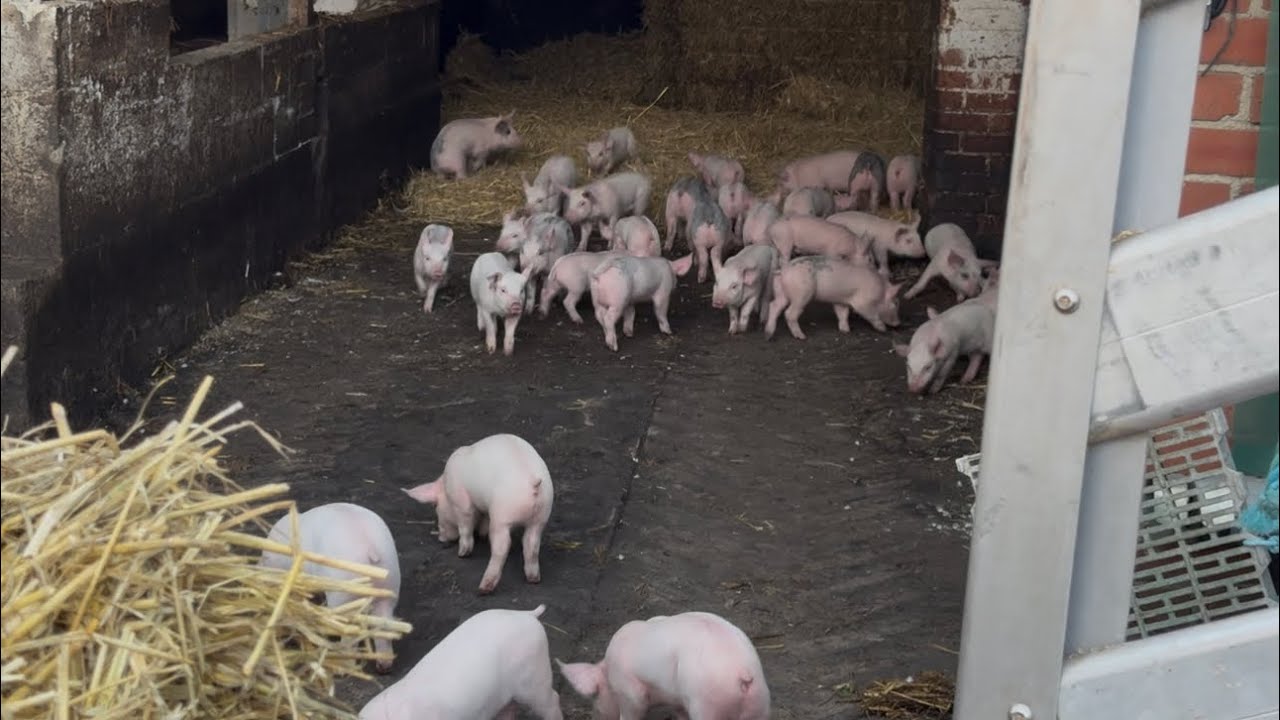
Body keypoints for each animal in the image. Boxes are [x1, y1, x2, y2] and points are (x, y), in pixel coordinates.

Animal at [259, 503, 401, 673]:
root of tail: (370, 548)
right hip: (390, 586)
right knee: (384, 627)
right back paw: (384, 666)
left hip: (345, 594)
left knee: (349, 633)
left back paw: (342, 667)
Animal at [403, 433, 554, 594]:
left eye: (435, 505)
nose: (441, 539)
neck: (446, 486)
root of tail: (533, 483)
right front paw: (481, 535)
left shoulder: (461, 501)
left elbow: (465, 526)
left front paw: (462, 553)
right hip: (541, 516)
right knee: (532, 544)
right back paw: (534, 579)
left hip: (502, 517)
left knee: (502, 546)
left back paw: (483, 588)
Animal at [557, 611, 770, 720]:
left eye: (595, 696)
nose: (594, 716)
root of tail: (742, 672)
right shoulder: (677, 700)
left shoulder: (629, 690)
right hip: (760, 703)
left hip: (709, 705)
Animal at [765, 255, 904, 339]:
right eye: (896, 303)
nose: (898, 324)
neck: (880, 292)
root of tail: (783, 271)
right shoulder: (863, 302)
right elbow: (870, 314)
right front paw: (883, 329)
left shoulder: (841, 301)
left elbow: (842, 314)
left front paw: (846, 330)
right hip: (802, 293)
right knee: (789, 313)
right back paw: (801, 337)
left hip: (781, 292)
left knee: (774, 306)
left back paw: (768, 334)